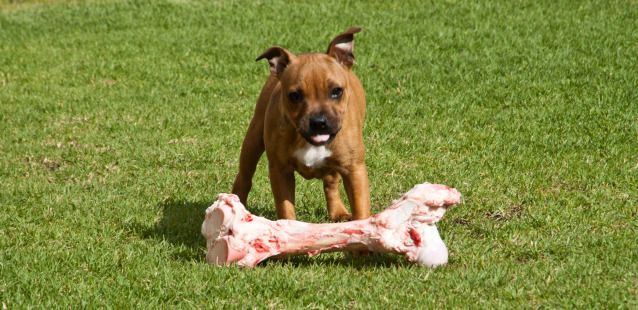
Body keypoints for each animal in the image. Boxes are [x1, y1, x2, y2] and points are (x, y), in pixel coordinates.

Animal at [231, 26, 370, 220]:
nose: (319, 122)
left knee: (331, 183)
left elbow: (361, 210)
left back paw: (338, 212)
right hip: (253, 140)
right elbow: (286, 209)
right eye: (294, 96)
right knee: (244, 177)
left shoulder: (354, 170)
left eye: (337, 91)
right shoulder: (280, 171)